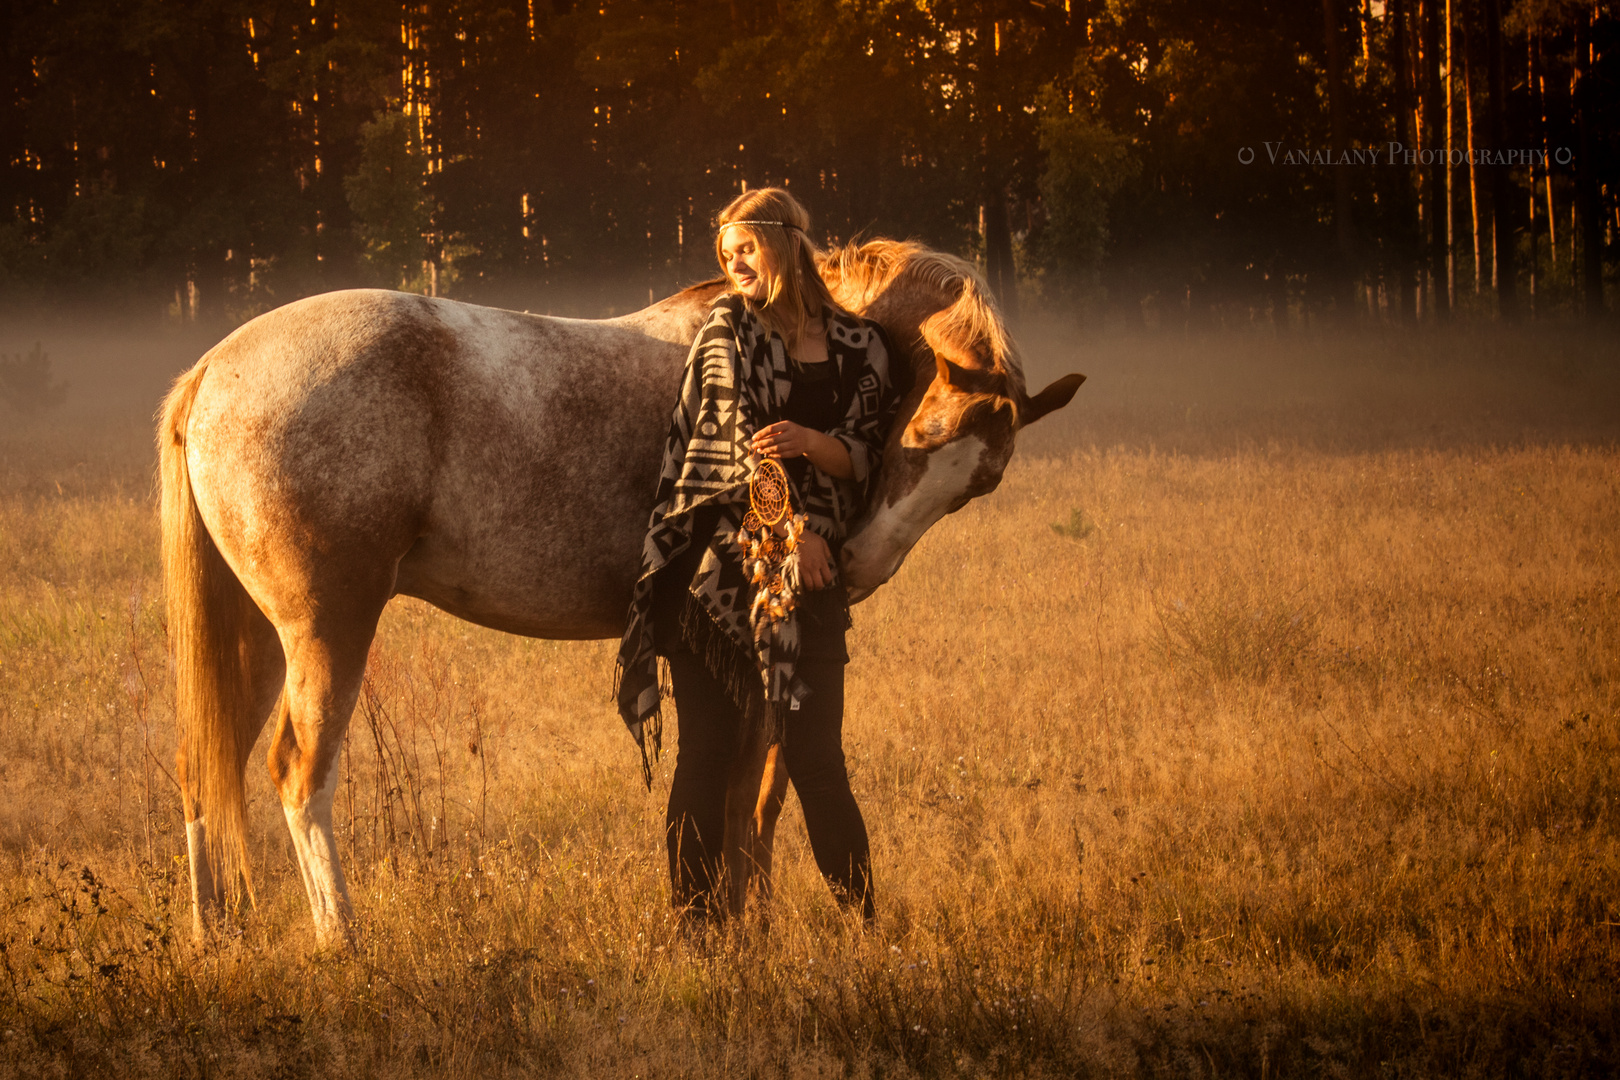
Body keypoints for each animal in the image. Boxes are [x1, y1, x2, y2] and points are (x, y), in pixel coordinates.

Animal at [161, 238, 1088, 945]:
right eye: (918, 434)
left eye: (981, 483)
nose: (854, 565)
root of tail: (212, 369)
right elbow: (751, 796)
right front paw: (746, 930)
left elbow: (754, 797)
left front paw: (741, 926)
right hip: (328, 630)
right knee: (298, 773)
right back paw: (342, 940)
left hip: (254, 638)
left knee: (204, 766)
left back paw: (215, 937)